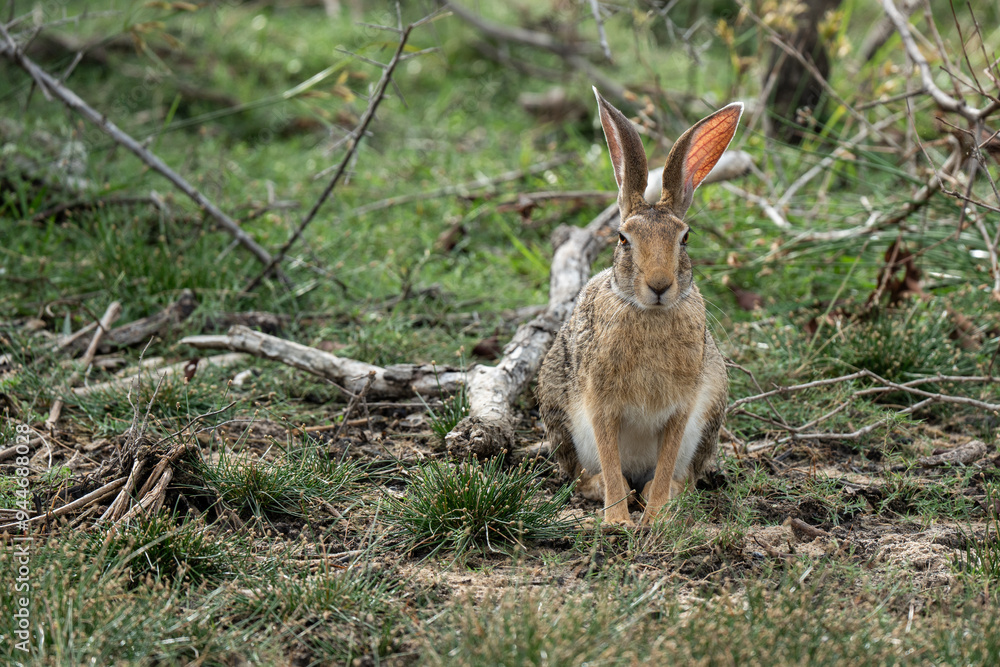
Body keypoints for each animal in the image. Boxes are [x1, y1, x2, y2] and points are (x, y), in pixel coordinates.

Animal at [536, 88, 740, 526]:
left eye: (685, 238)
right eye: (622, 238)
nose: (659, 285)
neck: (651, 314)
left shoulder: (682, 409)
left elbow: (665, 460)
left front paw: (656, 515)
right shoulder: (600, 405)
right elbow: (611, 460)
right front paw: (617, 520)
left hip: (709, 422)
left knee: (685, 475)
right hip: (560, 415)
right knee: (580, 474)